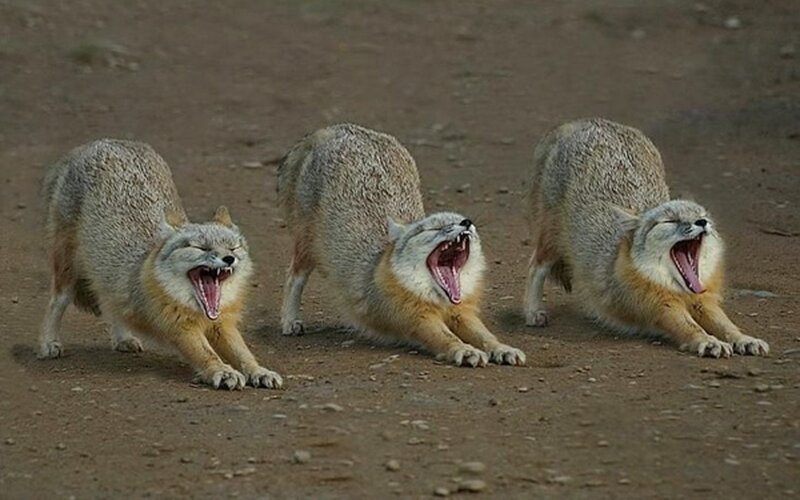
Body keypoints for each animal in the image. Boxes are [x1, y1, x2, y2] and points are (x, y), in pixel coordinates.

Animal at [39, 139, 282, 389]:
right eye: (201, 248)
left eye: (233, 248)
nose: (229, 259)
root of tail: (102, 142)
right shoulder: (180, 328)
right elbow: (206, 354)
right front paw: (222, 371)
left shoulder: (222, 324)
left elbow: (244, 353)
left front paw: (258, 371)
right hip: (66, 270)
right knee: (56, 302)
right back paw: (49, 343)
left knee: (112, 304)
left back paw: (123, 338)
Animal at [277, 123, 525, 367]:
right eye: (433, 228)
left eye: (460, 219)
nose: (467, 223)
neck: (439, 301)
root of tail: (339, 127)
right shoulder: (416, 319)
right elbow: (446, 337)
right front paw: (464, 350)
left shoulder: (462, 313)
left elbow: (485, 336)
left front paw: (502, 348)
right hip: (307, 246)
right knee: (293, 277)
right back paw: (290, 320)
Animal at [523, 118, 769, 358]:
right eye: (670, 221)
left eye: (702, 216)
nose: (701, 223)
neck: (678, 290)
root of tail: (588, 121)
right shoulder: (661, 306)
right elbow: (690, 326)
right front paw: (708, 341)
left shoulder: (704, 301)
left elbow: (726, 325)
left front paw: (744, 339)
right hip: (551, 240)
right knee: (535, 265)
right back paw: (533, 311)